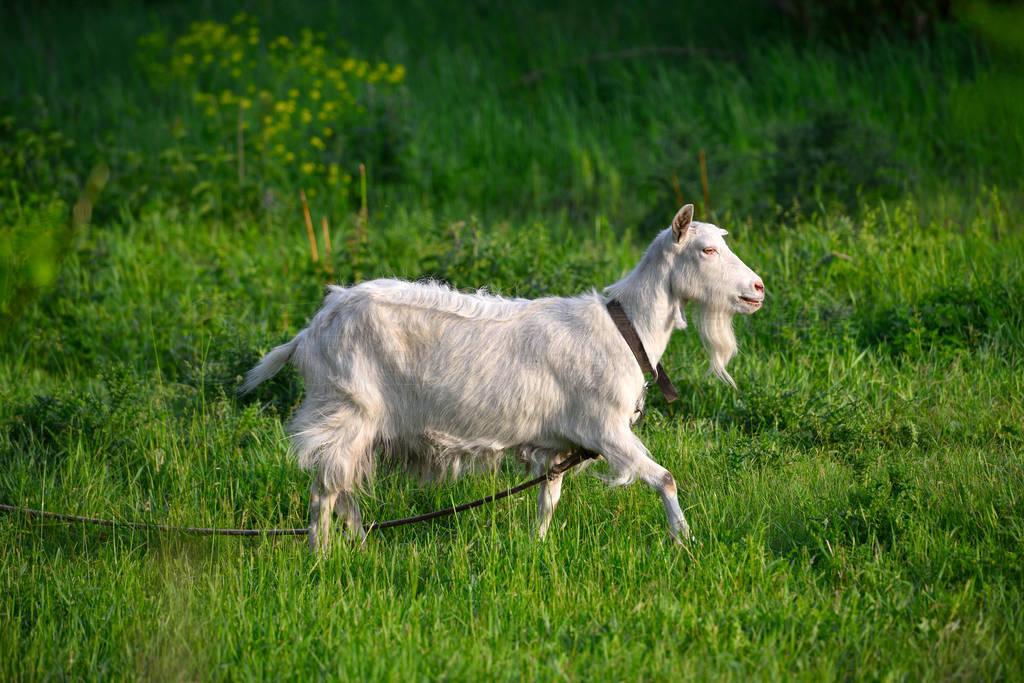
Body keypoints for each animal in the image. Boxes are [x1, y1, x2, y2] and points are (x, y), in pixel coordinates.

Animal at [243, 202, 765, 548]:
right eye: (707, 250)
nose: (758, 288)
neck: (625, 329)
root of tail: (309, 332)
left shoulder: (558, 444)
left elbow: (548, 499)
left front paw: (536, 547)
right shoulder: (605, 429)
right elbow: (665, 478)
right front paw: (684, 539)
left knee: (342, 486)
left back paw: (357, 547)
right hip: (344, 407)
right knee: (324, 489)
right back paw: (321, 556)